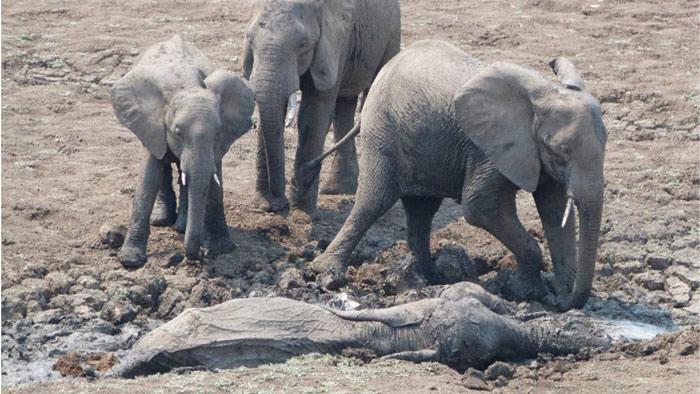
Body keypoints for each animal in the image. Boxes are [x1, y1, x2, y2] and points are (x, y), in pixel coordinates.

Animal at [112, 35, 258, 268]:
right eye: (177, 133)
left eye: (218, 133)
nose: (199, 255)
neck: (186, 84)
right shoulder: (154, 126)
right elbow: (148, 178)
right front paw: (130, 261)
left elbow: (214, 183)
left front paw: (221, 249)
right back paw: (162, 220)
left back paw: (180, 225)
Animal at [243, 0, 402, 215]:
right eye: (249, 38)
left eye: (303, 44)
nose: (280, 204)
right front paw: (265, 205)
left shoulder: (335, 42)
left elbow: (314, 112)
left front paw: (302, 213)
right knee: (345, 104)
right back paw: (338, 189)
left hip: (391, 34)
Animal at [310, 40, 608, 310]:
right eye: (560, 151)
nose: (561, 302)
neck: (543, 94)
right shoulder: (489, 149)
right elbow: (481, 208)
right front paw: (529, 292)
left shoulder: (534, 156)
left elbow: (554, 213)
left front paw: (552, 292)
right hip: (382, 130)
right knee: (374, 201)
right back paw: (327, 273)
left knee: (421, 210)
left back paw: (428, 278)